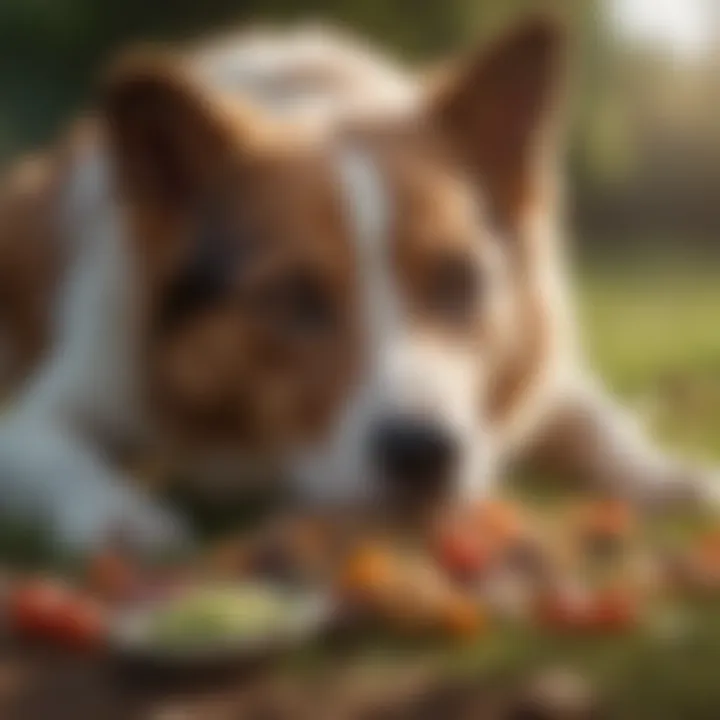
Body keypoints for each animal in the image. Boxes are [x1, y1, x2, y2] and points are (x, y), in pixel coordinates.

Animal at [0, 19, 716, 556]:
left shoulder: (543, 369)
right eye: (293, 297)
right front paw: (117, 516)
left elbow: (596, 420)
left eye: (459, 279)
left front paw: (670, 476)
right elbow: (60, 456)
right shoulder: (53, 404)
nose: (424, 455)